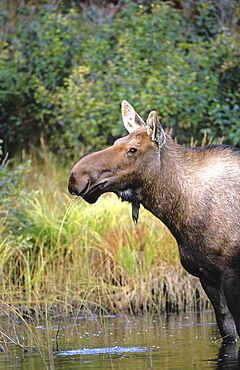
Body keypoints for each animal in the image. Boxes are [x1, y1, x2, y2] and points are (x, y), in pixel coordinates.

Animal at [68, 99, 240, 342]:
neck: (180, 215)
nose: (76, 177)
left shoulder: (231, 273)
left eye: (133, 149)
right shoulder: (206, 275)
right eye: (117, 141)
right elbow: (227, 329)